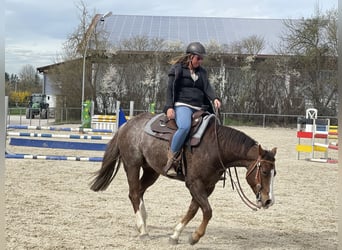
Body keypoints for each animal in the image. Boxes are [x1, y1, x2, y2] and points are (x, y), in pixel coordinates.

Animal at [89, 112, 276, 245]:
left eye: (274, 173)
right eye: (264, 171)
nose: (268, 201)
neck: (215, 147)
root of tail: (126, 125)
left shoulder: (208, 186)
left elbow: (194, 209)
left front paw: (175, 234)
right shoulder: (194, 183)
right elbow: (207, 210)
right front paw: (195, 237)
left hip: (151, 170)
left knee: (139, 191)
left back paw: (143, 221)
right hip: (132, 165)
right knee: (134, 193)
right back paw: (143, 230)